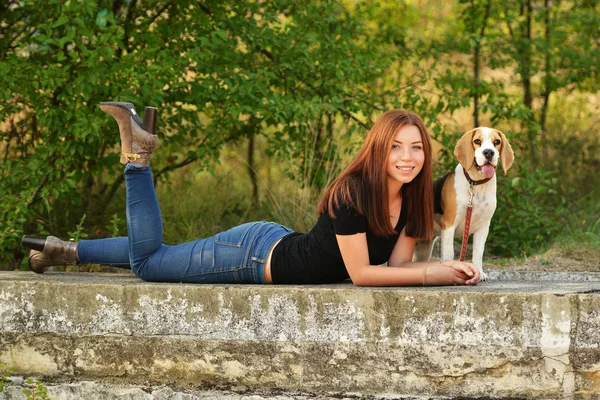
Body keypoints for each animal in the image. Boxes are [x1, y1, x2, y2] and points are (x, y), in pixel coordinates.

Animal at [418, 126, 516, 280]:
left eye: (497, 142)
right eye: (477, 141)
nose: (489, 152)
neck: (475, 184)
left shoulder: (483, 227)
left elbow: (478, 253)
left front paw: (479, 272)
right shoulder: (449, 225)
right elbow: (449, 254)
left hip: (424, 247)